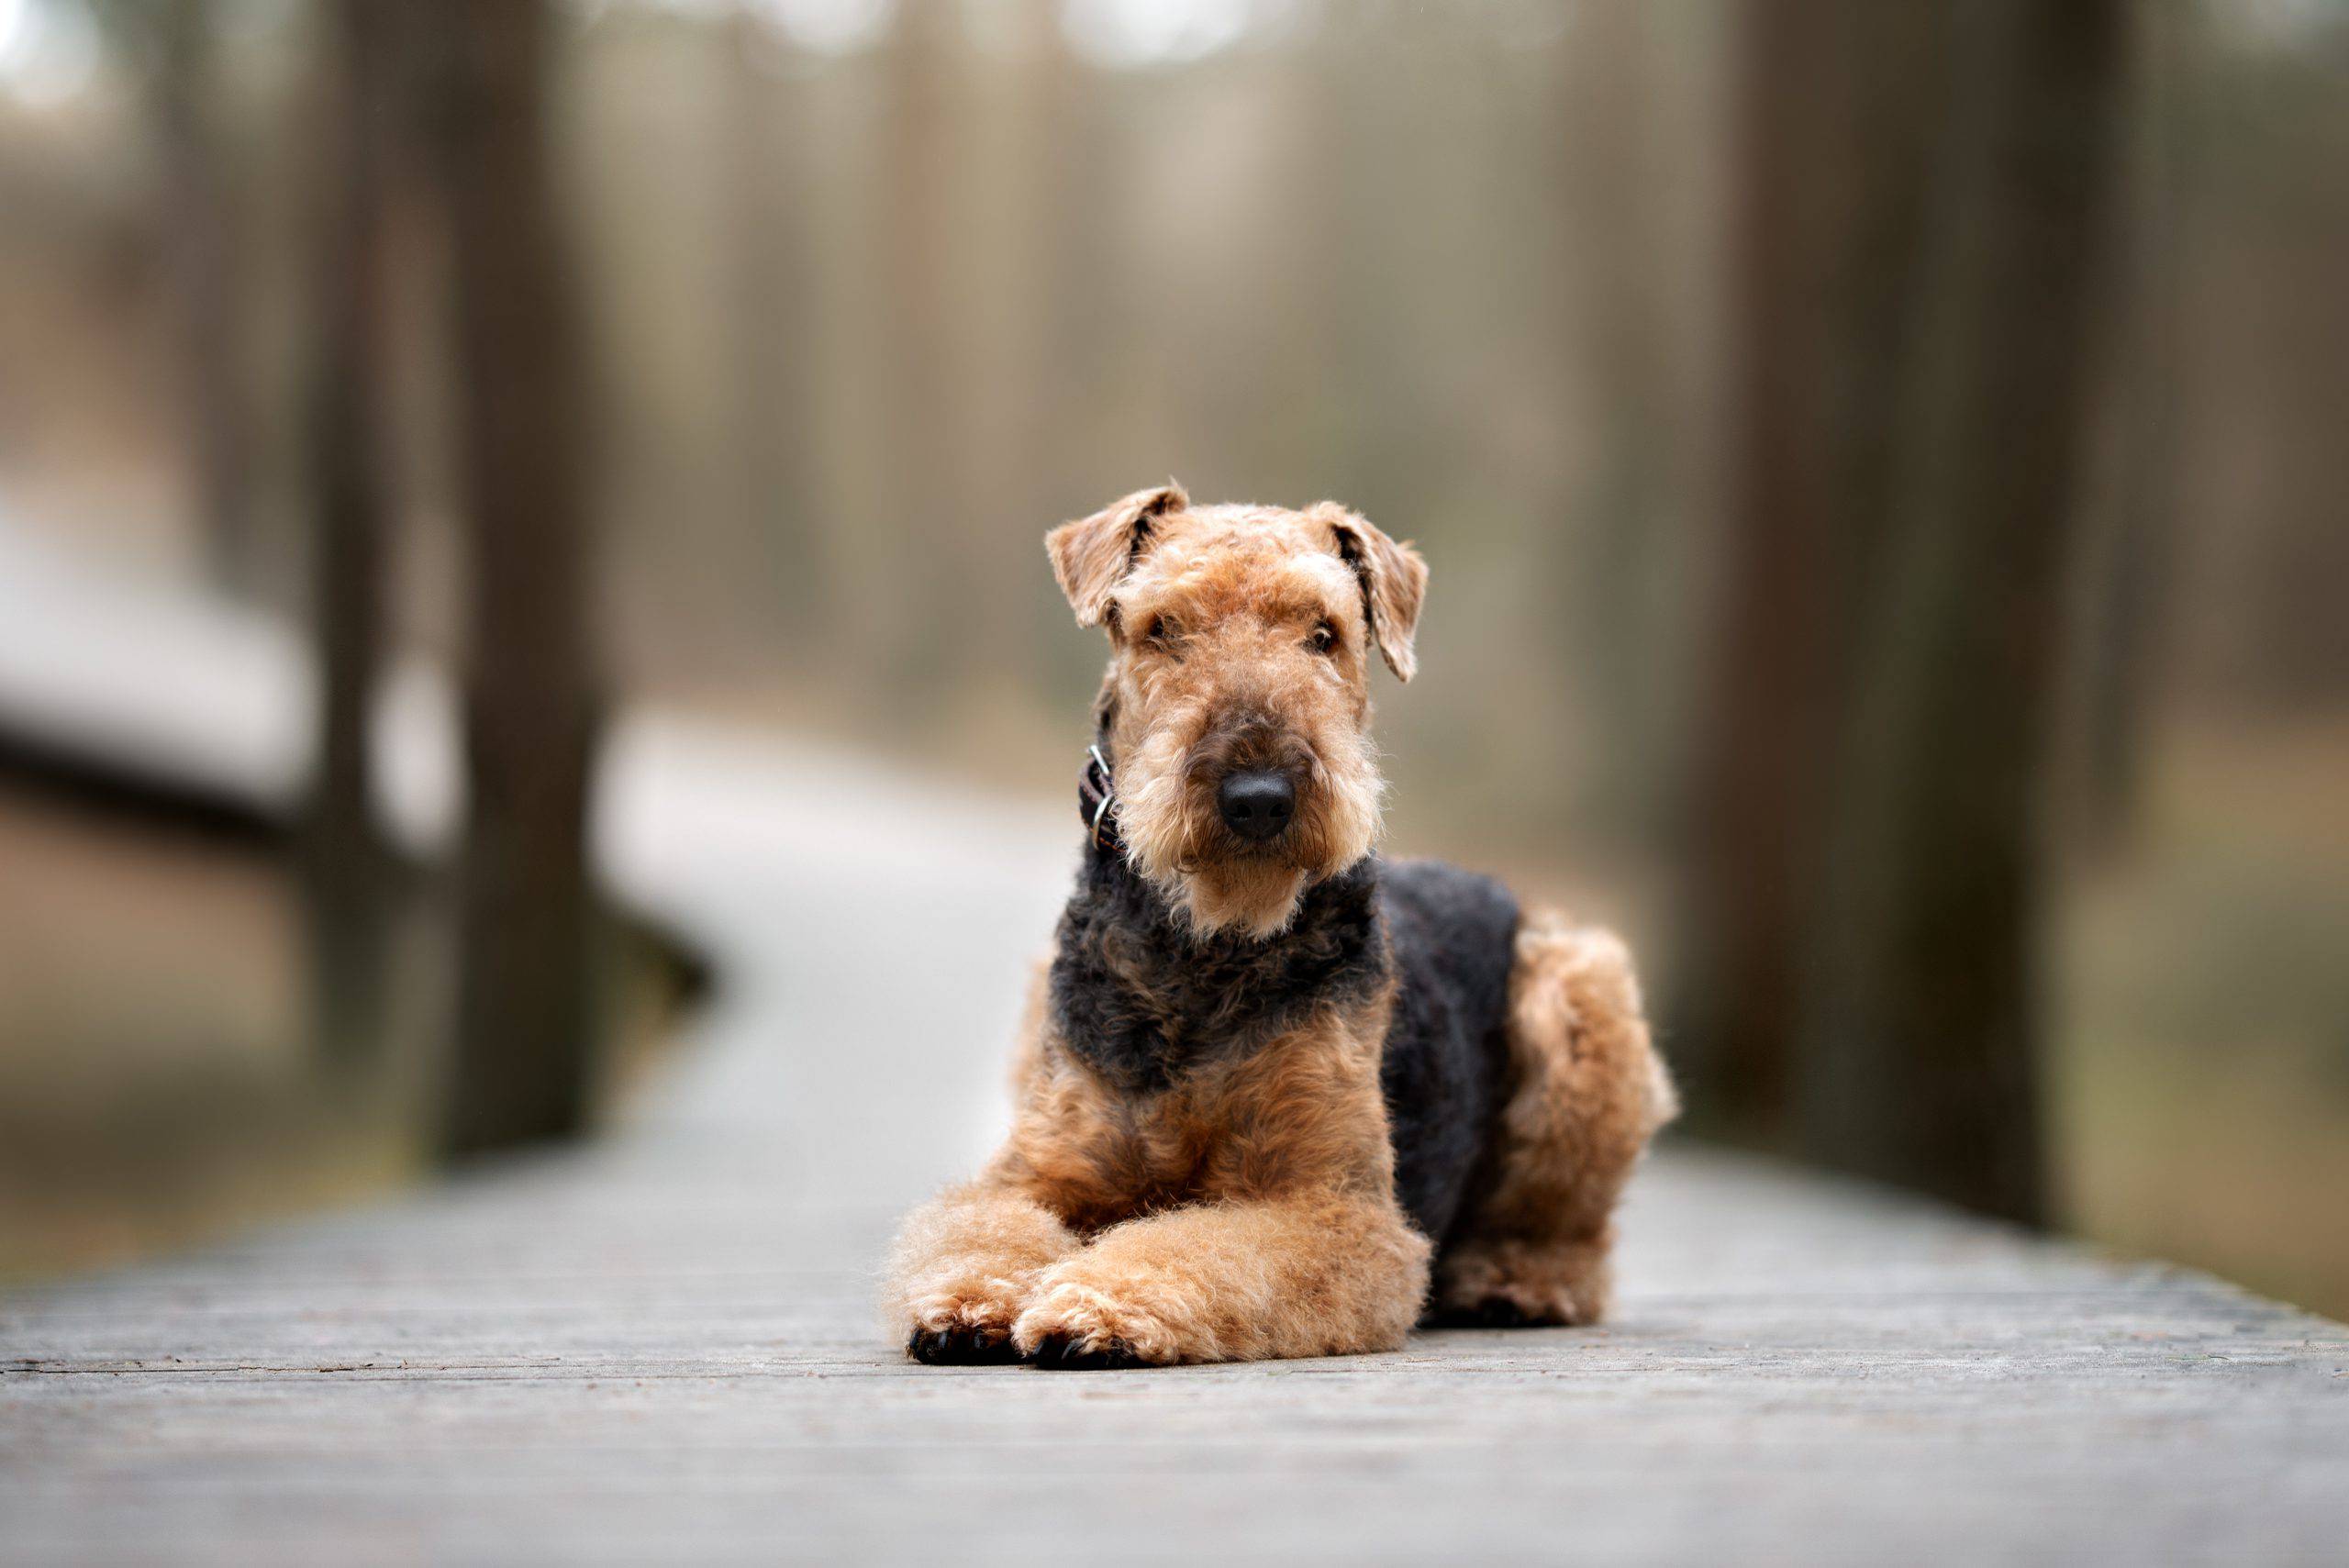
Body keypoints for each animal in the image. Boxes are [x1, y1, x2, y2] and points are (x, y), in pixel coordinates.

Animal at [883, 484, 1672, 1361]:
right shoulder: (1039, 1173)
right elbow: (980, 1226)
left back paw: (1511, 1281)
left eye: (1323, 633)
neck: (1205, 948)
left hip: (1581, 1000)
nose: (1257, 797)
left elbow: (1204, 1243)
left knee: (1572, 1237)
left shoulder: (1332, 1205)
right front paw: (969, 1299)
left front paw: (1102, 1302)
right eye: (1163, 627)